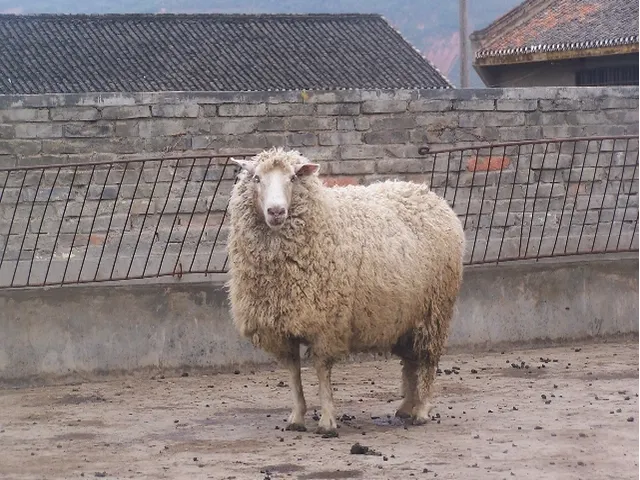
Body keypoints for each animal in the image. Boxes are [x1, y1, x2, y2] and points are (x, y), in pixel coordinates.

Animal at [226, 147, 465, 435]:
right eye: (257, 178)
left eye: (293, 178)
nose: (276, 211)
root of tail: (426, 192)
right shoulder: (281, 327)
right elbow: (293, 372)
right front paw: (297, 417)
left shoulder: (326, 323)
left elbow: (321, 371)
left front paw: (327, 421)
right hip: (405, 314)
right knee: (410, 361)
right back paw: (406, 407)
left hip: (435, 310)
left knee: (428, 359)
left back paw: (422, 410)